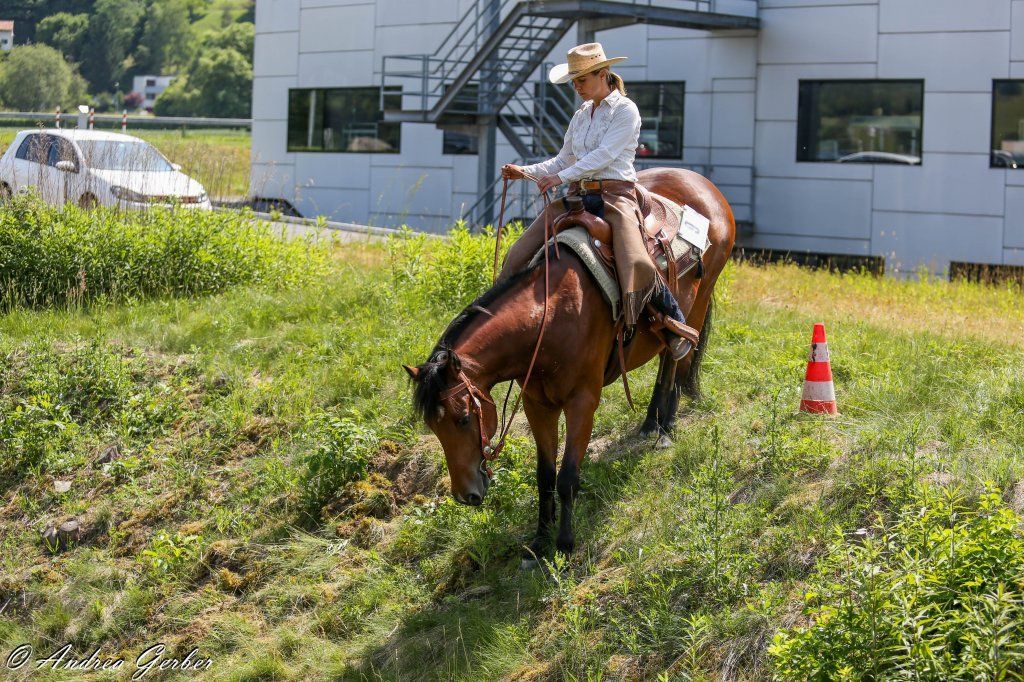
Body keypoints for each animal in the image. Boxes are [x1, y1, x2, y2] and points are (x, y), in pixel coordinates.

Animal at [403, 168, 736, 559]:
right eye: (432, 425)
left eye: (464, 419)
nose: (465, 495)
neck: (550, 316)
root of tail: (705, 186)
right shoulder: (538, 404)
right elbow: (545, 476)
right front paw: (538, 543)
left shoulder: (582, 403)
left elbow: (567, 478)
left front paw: (563, 544)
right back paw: (648, 424)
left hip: (699, 302)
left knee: (674, 360)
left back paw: (666, 428)